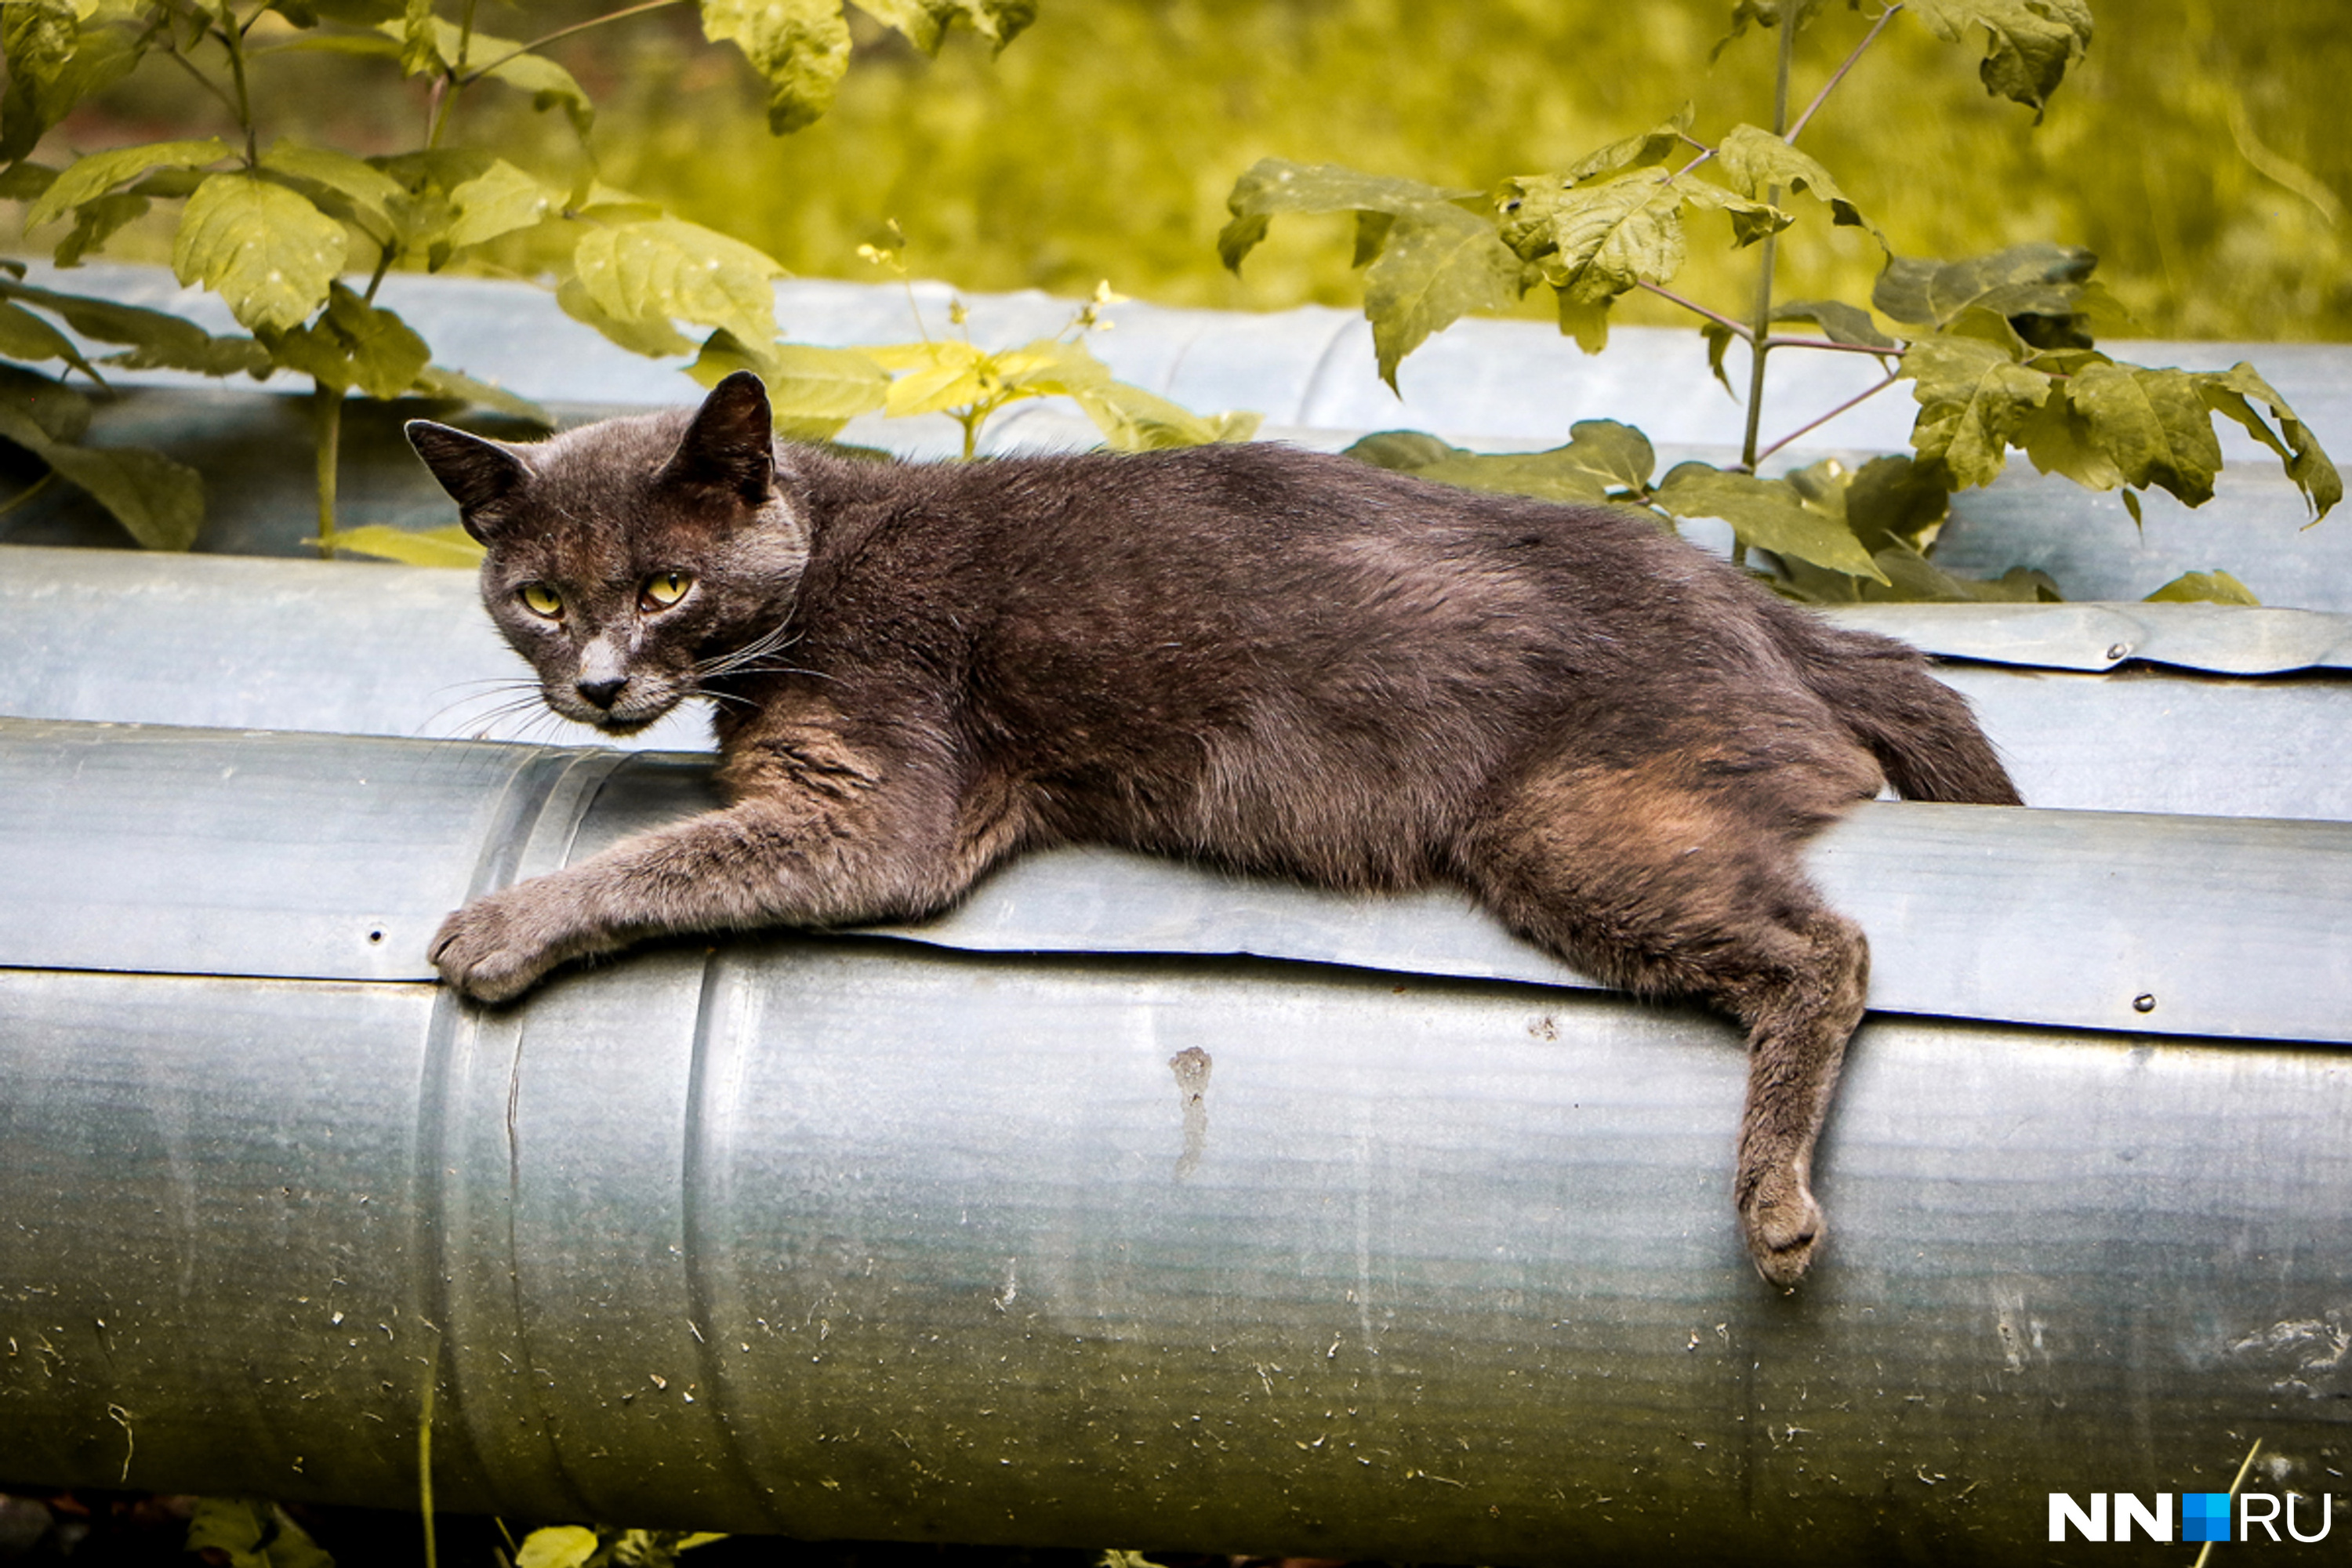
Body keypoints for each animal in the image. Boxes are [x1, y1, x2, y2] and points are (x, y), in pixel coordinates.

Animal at [409, 371, 2023, 1288]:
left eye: (667, 585)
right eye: (539, 598)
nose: (598, 683)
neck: (820, 566)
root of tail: (1772, 612)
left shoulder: (877, 806)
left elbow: (663, 856)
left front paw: (496, 925)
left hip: (1573, 824)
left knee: (1827, 947)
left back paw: (1775, 1207)